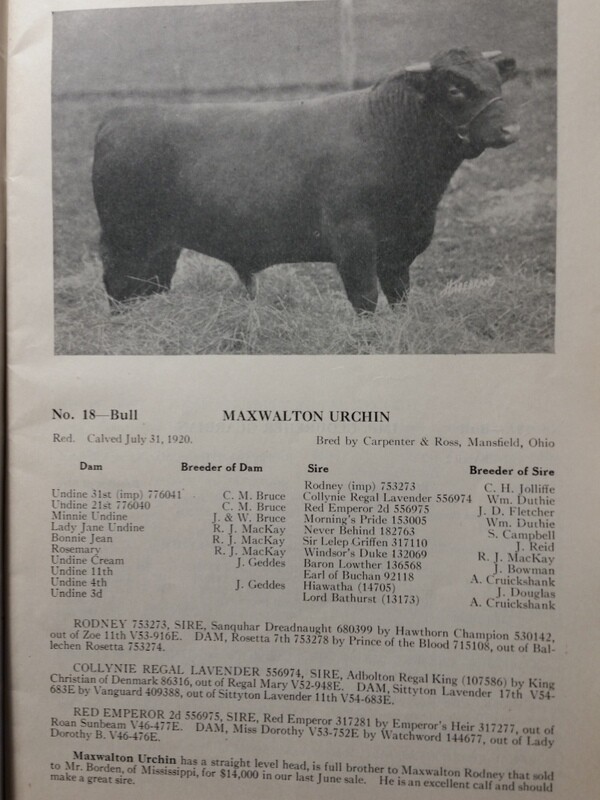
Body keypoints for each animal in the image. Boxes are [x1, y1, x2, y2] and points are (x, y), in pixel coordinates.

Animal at [92, 48, 519, 313]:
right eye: (455, 88)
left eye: (498, 82)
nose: (511, 129)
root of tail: (120, 116)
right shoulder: (353, 241)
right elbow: (365, 299)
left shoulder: (400, 247)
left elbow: (400, 297)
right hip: (125, 239)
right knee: (119, 289)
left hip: (161, 246)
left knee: (149, 288)